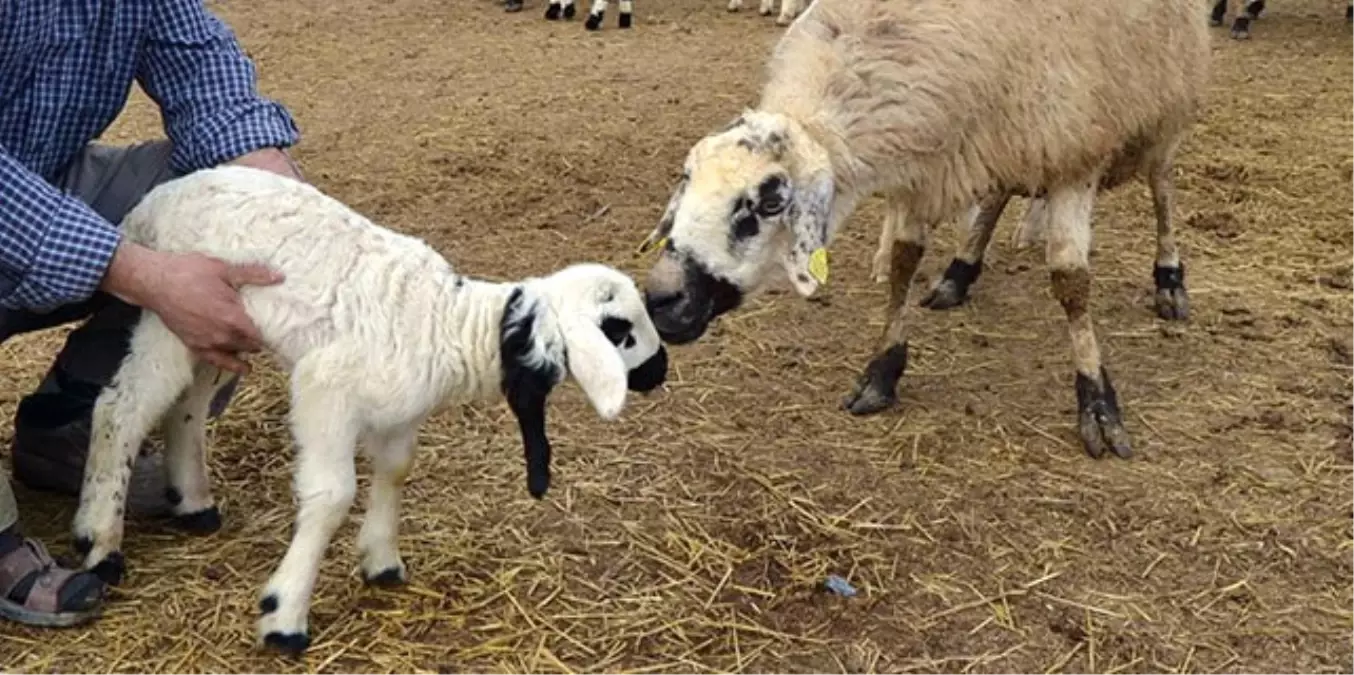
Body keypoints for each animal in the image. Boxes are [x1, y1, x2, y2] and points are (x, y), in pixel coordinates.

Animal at [68, 166, 671, 657]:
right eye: (622, 331)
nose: (661, 370)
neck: (451, 323)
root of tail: (152, 205)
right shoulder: (325, 391)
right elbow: (333, 495)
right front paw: (284, 615)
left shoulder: (399, 416)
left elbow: (396, 470)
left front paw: (381, 559)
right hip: (175, 305)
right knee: (123, 407)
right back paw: (100, 541)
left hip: (215, 328)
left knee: (185, 409)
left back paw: (192, 501)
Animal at [639, 0, 1213, 462]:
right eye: (687, 180)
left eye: (770, 201)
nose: (661, 300)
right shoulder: (930, 167)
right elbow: (902, 264)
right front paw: (882, 372)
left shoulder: (1073, 153)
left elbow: (1071, 284)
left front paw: (1097, 402)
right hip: (1007, 138)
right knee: (998, 195)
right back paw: (961, 270)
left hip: (1162, 106)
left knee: (1162, 189)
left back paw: (1169, 280)